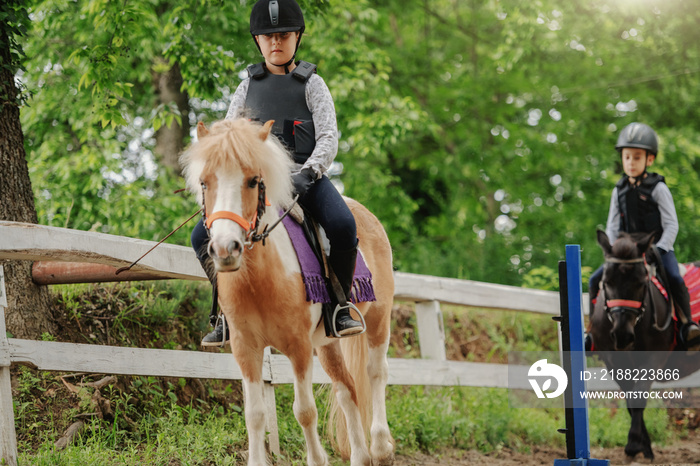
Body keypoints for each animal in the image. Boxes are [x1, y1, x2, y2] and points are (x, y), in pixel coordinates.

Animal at [179, 119, 394, 466]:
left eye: (254, 181)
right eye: (204, 183)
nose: (225, 249)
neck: (260, 279)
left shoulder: (298, 346)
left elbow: (304, 411)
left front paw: (317, 460)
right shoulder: (246, 348)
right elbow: (254, 415)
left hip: (378, 317)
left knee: (375, 373)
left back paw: (380, 447)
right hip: (328, 342)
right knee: (346, 389)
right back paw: (361, 456)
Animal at [592, 229, 700, 458]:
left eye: (641, 282)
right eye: (606, 281)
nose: (622, 335)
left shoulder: (653, 359)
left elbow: (638, 398)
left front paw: (634, 444)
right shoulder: (614, 363)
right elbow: (630, 401)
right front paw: (645, 446)